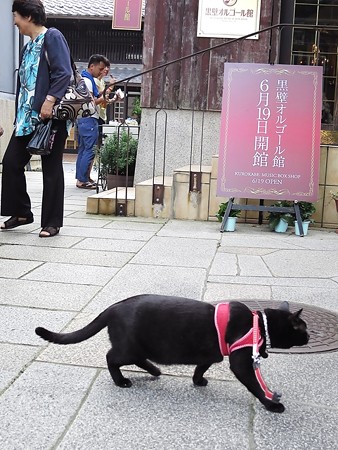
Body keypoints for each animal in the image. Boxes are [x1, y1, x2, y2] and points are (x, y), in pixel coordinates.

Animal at [36, 294, 308, 414]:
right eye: (303, 329)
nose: (307, 337)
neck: (258, 325)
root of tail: (112, 307)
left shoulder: (210, 356)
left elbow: (200, 368)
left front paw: (198, 381)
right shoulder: (240, 363)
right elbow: (256, 385)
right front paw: (272, 404)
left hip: (140, 346)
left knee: (135, 359)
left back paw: (155, 370)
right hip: (128, 347)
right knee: (110, 358)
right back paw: (122, 381)